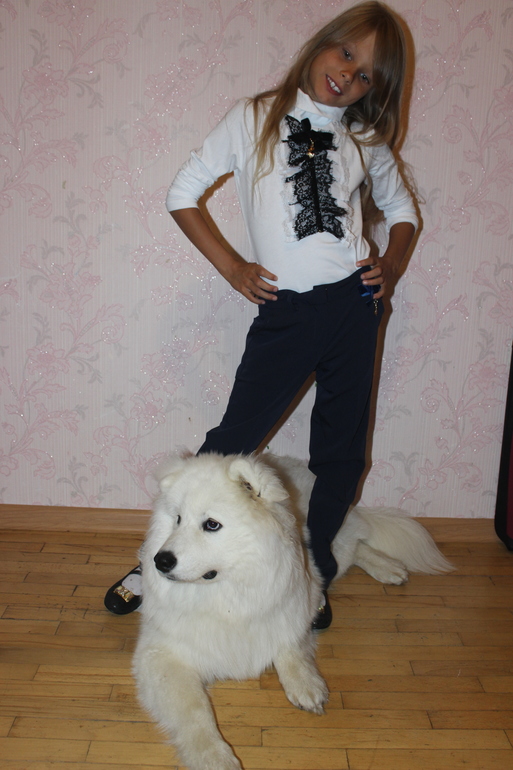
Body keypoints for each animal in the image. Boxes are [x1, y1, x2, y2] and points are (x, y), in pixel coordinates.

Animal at [133, 452, 452, 770]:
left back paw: (389, 568)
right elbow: (195, 711)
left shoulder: (301, 596)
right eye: (177, 519)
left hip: (333, 548)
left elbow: (290, 643)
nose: (161, 560)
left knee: (356, 547)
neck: (226, 595)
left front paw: (305, 683)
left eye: (211, 524)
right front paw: (213, 756)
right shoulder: (161, 655)